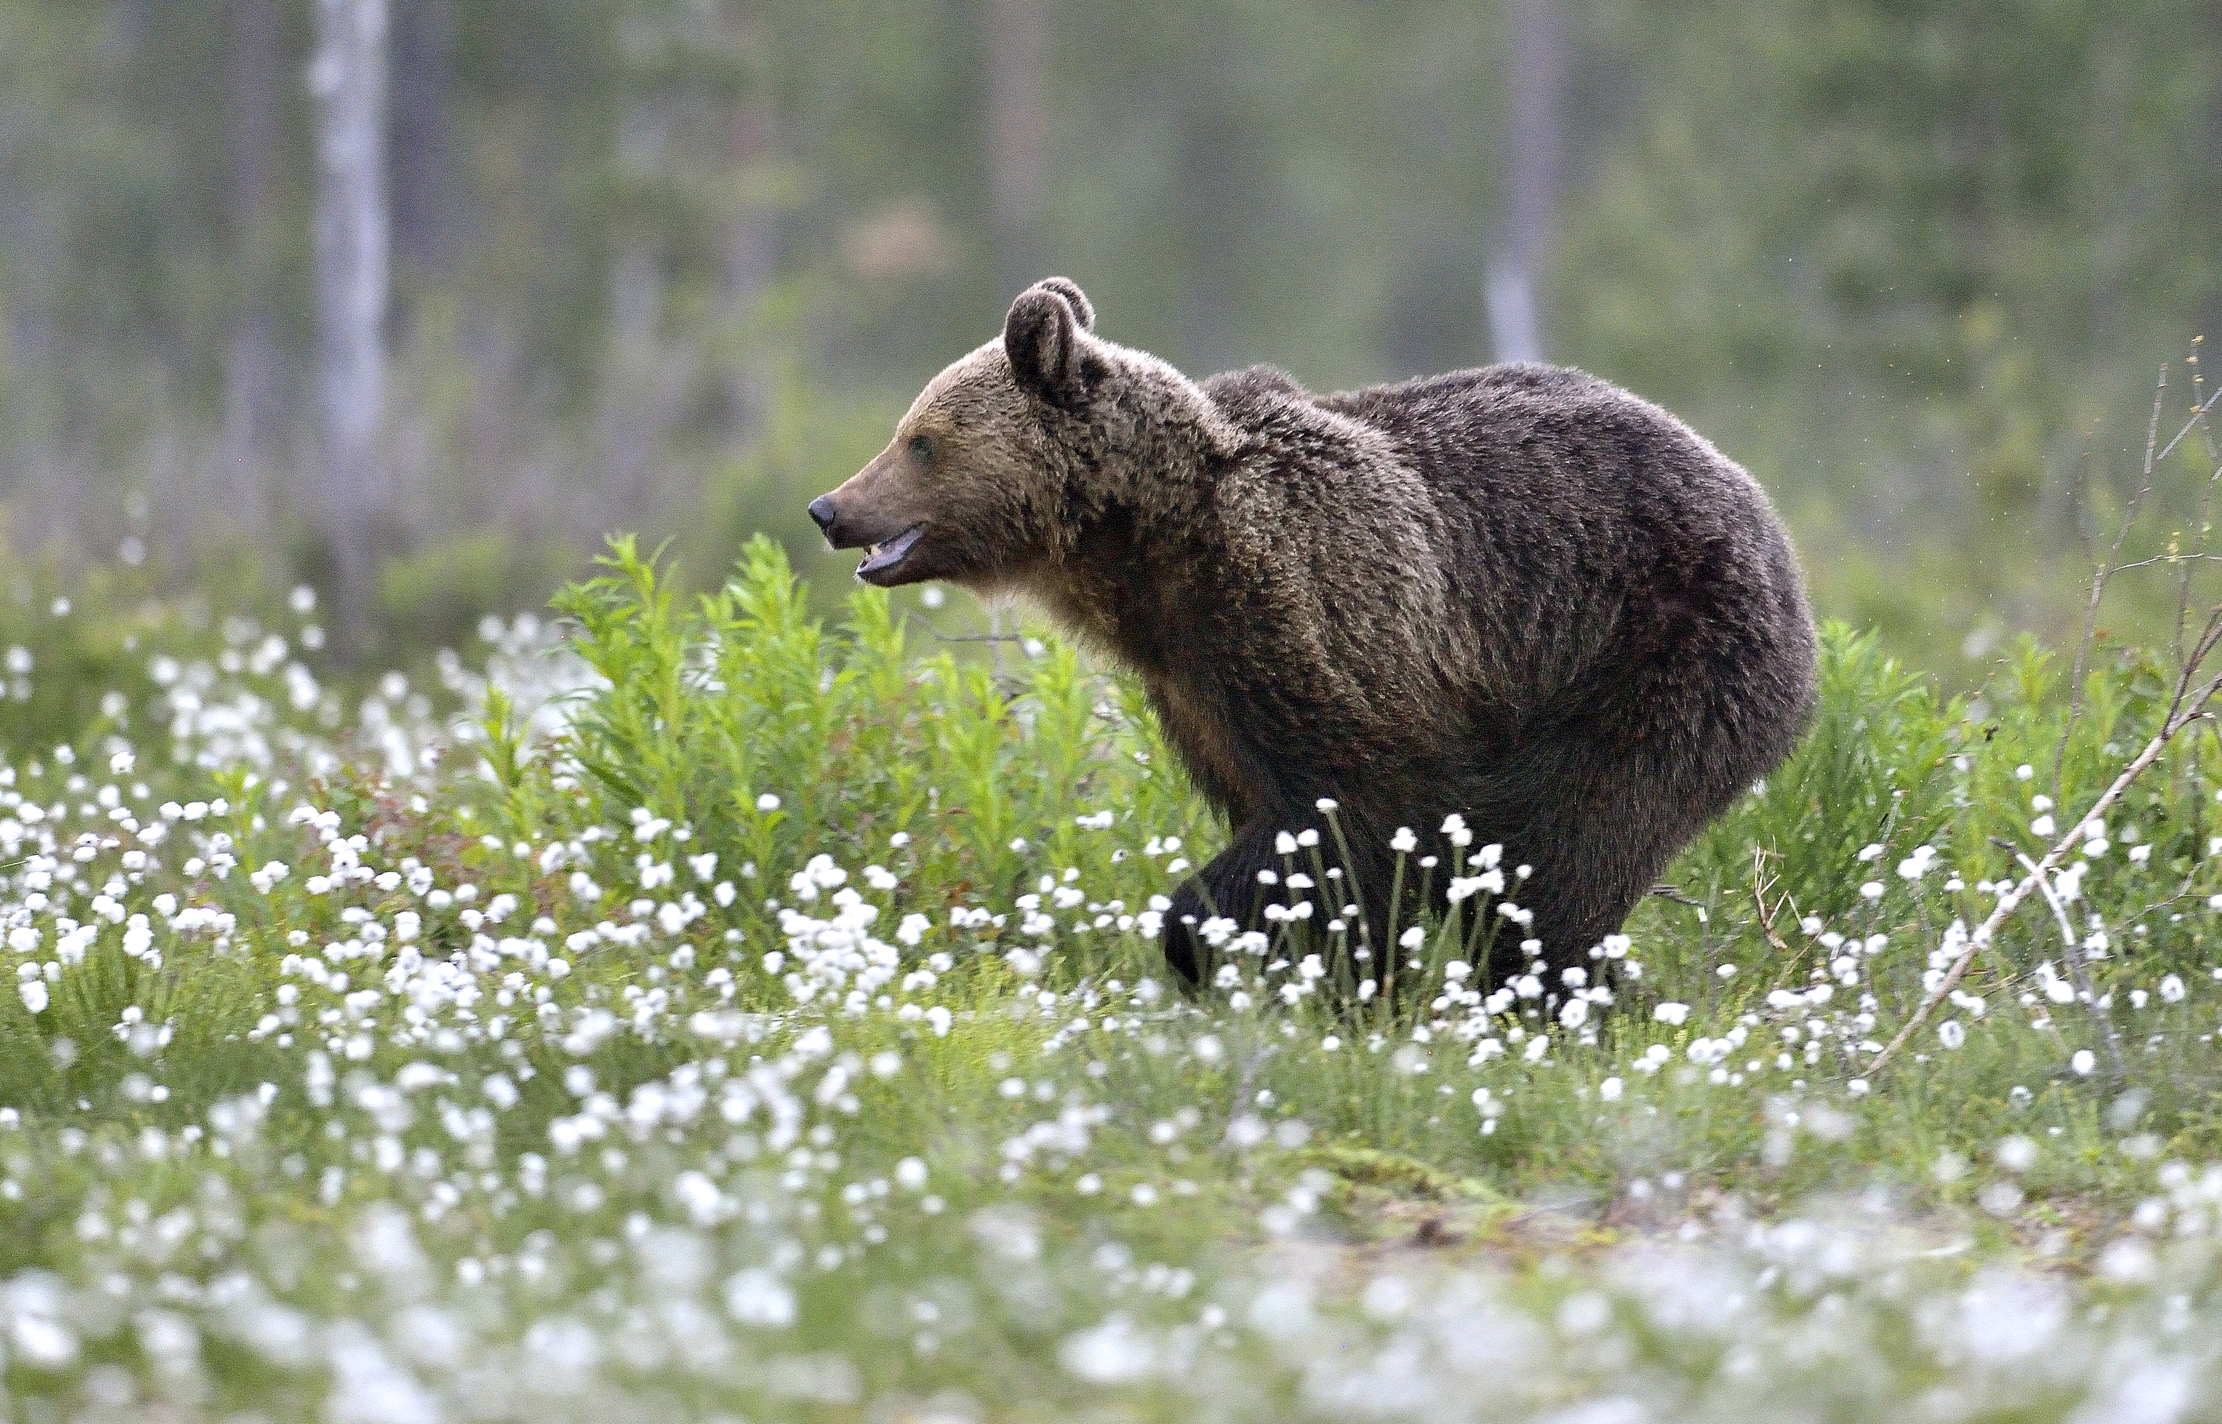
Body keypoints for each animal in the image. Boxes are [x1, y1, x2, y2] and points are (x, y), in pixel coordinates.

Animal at [808, 277, 1817, 990]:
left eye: (920, 441)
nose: (830, 508)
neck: (1145, 551)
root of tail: (1770, 523)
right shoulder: (1194, 687)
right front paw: (1354, 985)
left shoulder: (1312, 618)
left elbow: (1343, 812)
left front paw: (1213, 939)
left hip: (1656, 660)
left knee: (1568, 862)